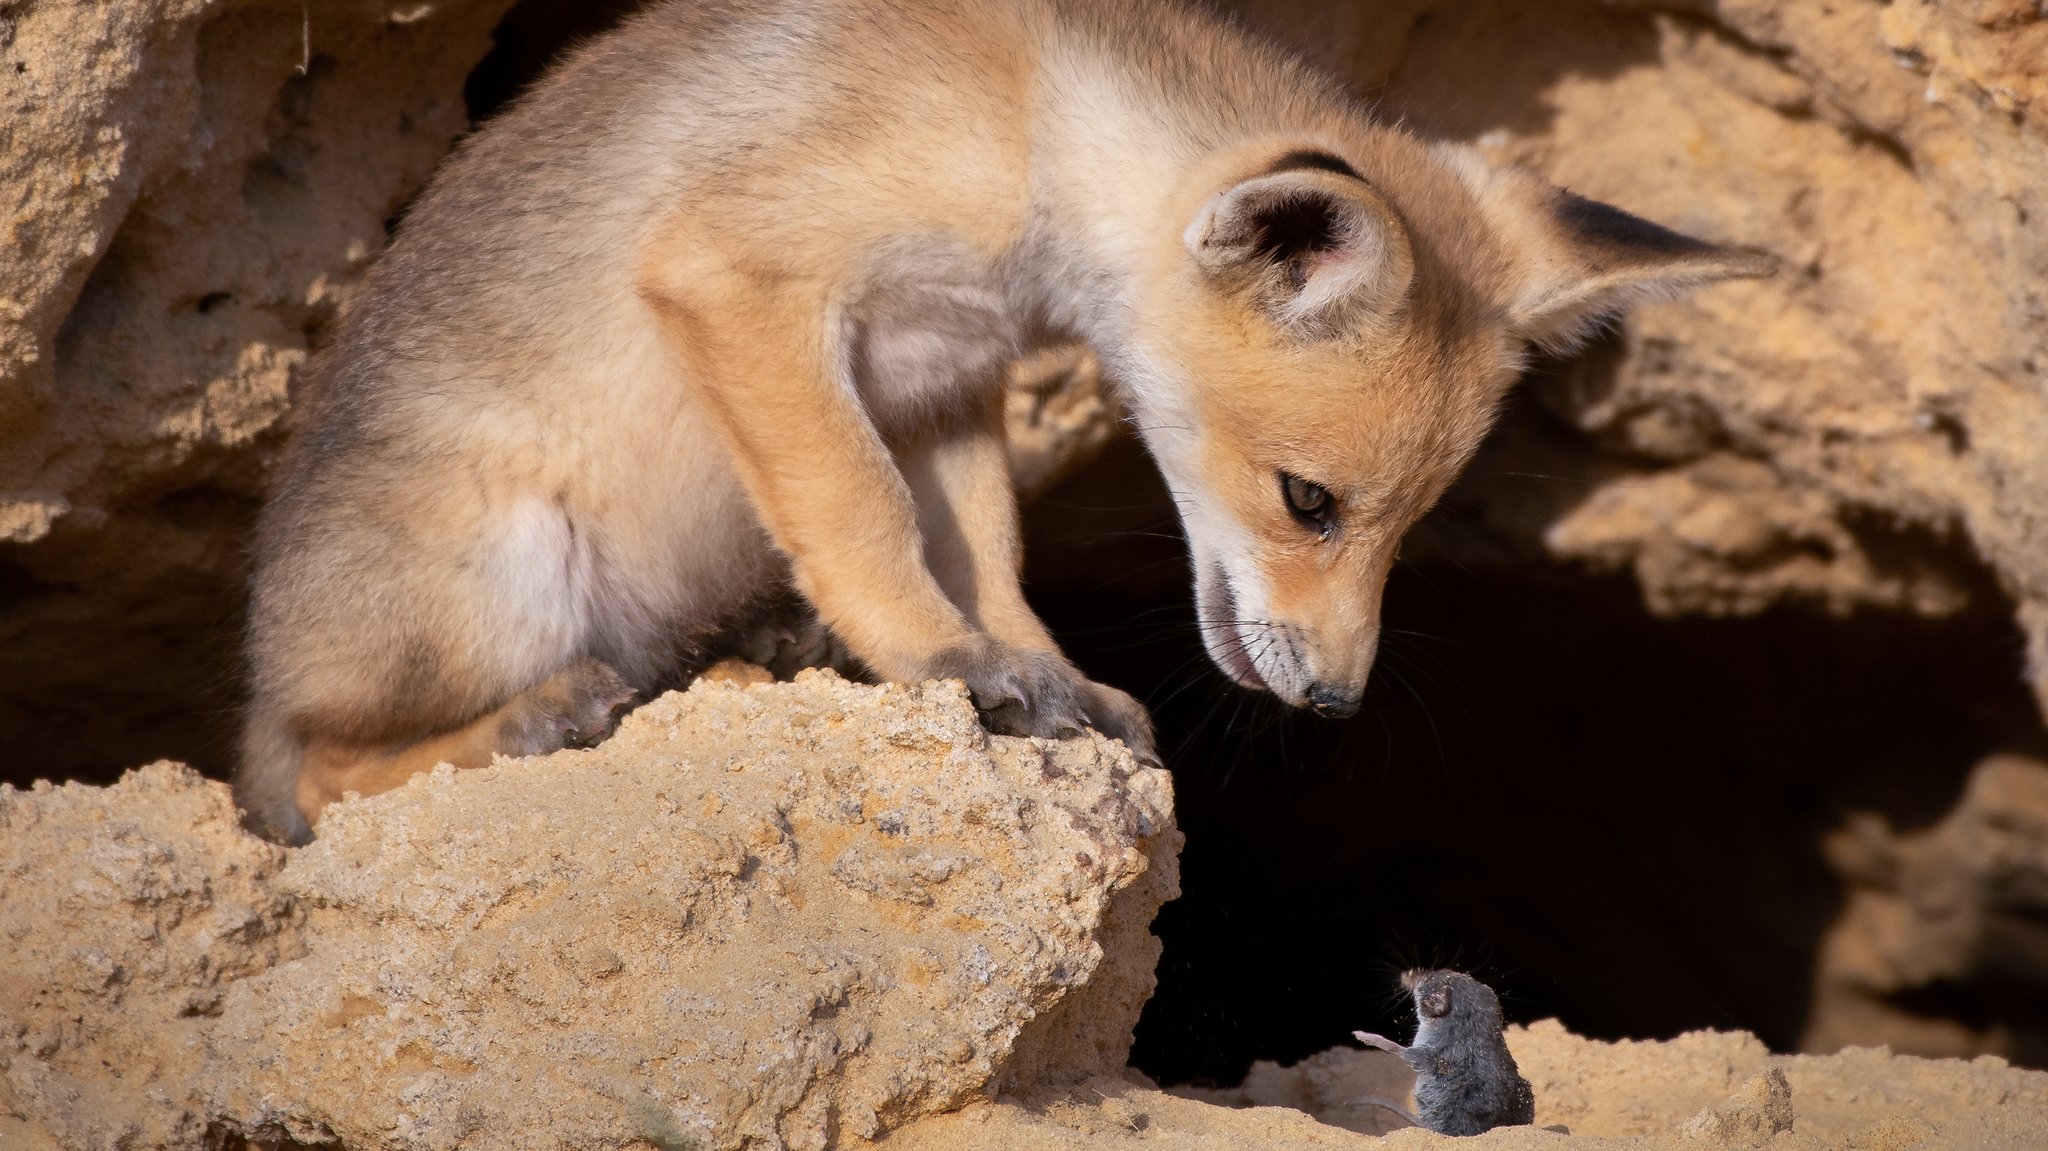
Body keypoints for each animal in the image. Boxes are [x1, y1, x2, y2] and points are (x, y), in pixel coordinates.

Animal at [239, 0, 1777, 843]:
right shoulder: (743, 278)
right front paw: (936, 660)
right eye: (1311, 501)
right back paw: (530, 719)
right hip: (505, 569)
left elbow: (988, 553)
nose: (1335, 700)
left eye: (1412, 528)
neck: (1028, 121)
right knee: (312, 774)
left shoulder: (944, 379)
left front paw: (1042, 674)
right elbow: (861, 514)